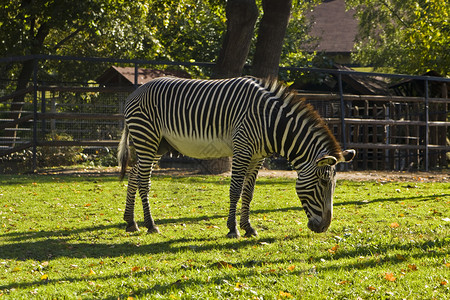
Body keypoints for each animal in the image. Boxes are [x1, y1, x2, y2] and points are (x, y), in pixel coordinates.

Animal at [118, 76, 356, 238]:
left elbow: (248, 193)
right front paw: (233, 229)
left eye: (334, 184)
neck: (270, 122)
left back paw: (131, 222)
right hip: (147, 137)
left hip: (158, 144)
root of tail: (135, 92)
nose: (323, 227)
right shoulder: (242, 150)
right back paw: (150, 225)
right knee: (143, 181)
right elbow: (235, 190)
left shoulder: (257, 157)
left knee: (134, 175)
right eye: (323, 183)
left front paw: (248, 227)